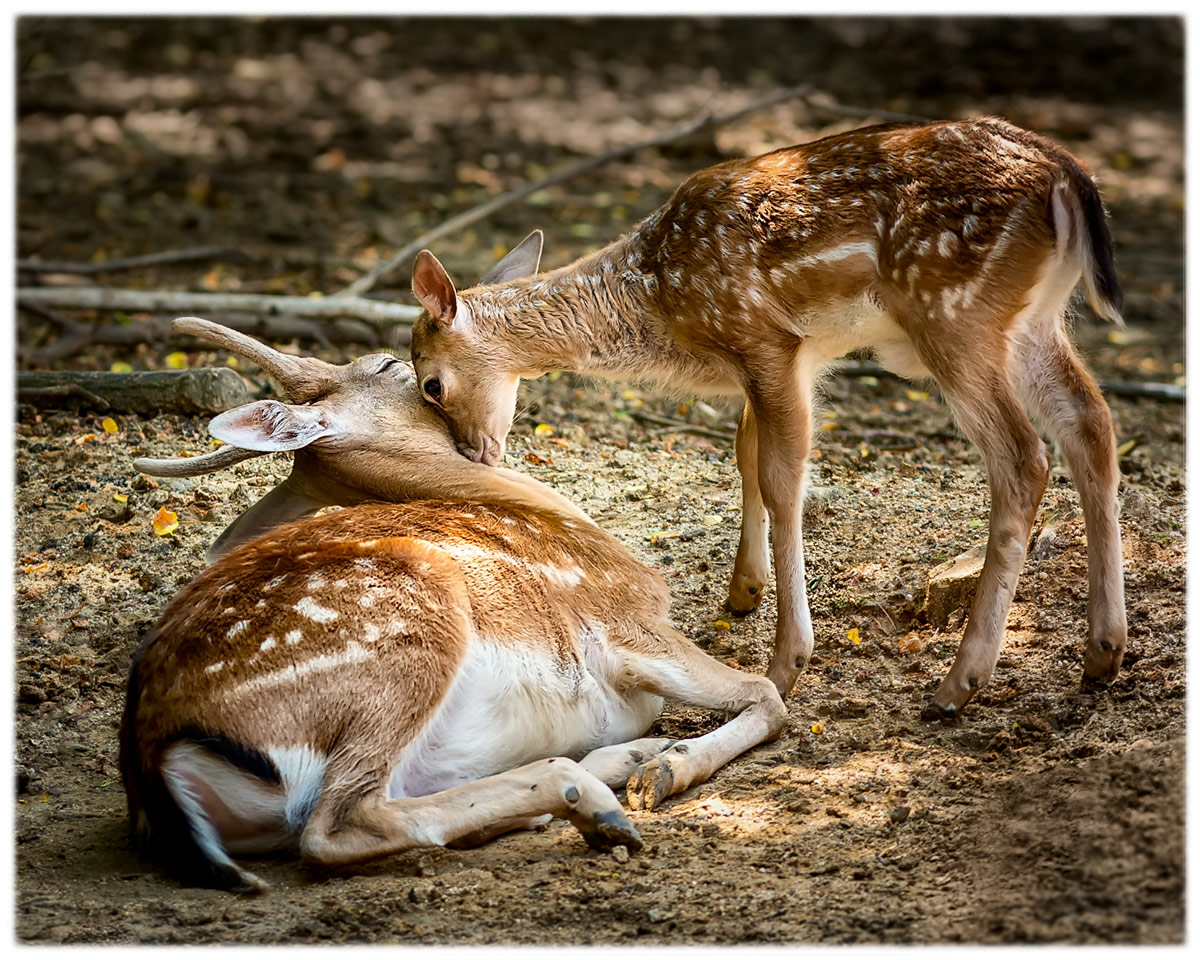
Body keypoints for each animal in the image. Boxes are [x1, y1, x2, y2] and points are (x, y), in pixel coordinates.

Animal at [119, 314, 787, 892]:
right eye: (391, 364)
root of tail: (154, 759)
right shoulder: (625, 621)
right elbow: (767, 695)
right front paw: (669, 770)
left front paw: (653, 757)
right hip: (412, 625)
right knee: (336, 826)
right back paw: (594, 801)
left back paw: (606, 772)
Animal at [408, 116, 1128, 720]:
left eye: (431, 383)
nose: (474, 452)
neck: (659, 297)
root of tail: (1067, 177)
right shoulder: (776, 363)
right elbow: (744, 454)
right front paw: (742, 592)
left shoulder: (766, 339)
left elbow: (782, 479)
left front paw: (787, 664)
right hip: (1033, 319)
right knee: (1091, 423)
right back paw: (1102, 655)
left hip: (952, 313)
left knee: (1024, 457)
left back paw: (960, 683)